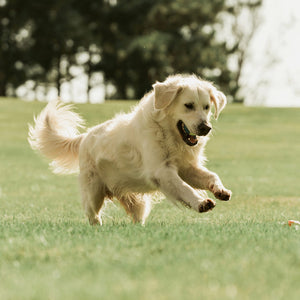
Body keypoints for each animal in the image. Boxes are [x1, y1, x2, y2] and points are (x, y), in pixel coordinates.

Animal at [28, 75, 232, 225]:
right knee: (92, 214)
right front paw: (201, 202)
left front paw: (220, 190)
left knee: (136, 218)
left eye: (206, 107)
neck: (167, 132)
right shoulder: (161, 171)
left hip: (136, 201)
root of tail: (85, 136)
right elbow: (184, 188)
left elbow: (211, 176)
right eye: (188, 105)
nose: (206, 127)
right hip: (93, 192)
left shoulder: (186, 168)